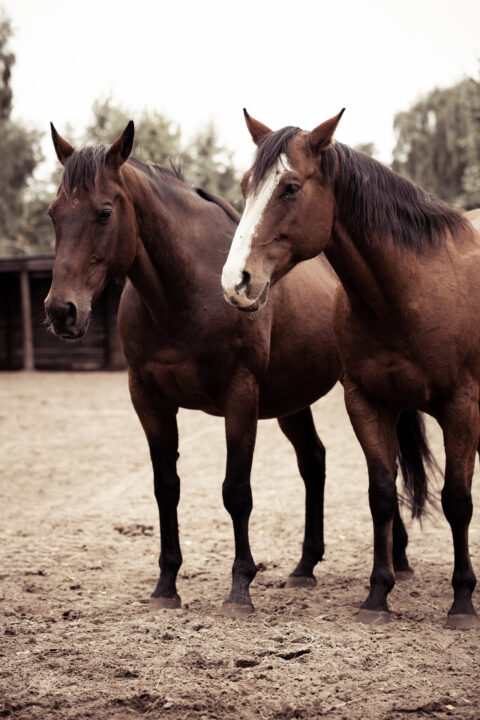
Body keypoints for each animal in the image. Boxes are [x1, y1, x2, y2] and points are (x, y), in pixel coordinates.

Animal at [45, 121, 427, 617]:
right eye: (54, 213)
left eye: (104, 213)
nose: (61, 311)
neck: (186, 292)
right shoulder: (148, 399)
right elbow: (166, 487)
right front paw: (166, 585)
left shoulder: (240, 396)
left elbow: (236, 491)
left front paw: (240, 587)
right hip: (292, 401)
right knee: (314, 462)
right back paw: (306, 567)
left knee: (383, 464)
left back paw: (397, 560)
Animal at [221, 109, 480, 629]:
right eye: (245, 185)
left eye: (291, 188)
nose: (235, 281)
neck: (409, 290)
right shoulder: (367, 402)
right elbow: (381, 494)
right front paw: (377, 594)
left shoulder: (462, 408)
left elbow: (457, 501)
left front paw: (463, 600)